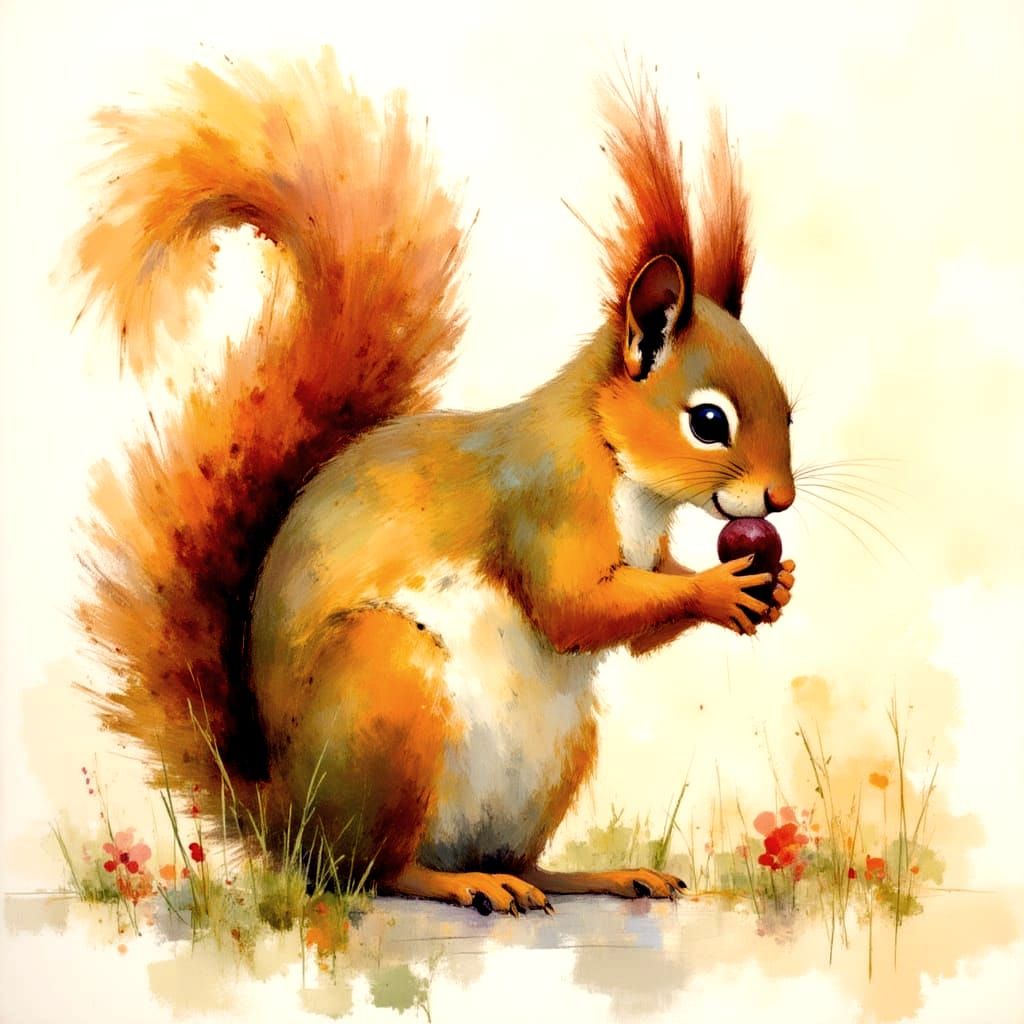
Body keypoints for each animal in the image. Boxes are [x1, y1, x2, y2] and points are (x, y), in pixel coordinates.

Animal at [74, 53, 796, 915]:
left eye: (789, 405)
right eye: (709, 422)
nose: (779, 502)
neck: (618, 466)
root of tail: (287, 819)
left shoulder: (640, 547)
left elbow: (640, 614)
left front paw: (770, 584)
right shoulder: (544, 500)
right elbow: (573, 609)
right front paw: (720, 588)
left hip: (557, 753)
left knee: (513, 857)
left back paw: (586, 875)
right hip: (385, 692)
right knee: (378, 872)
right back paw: (462, 882)